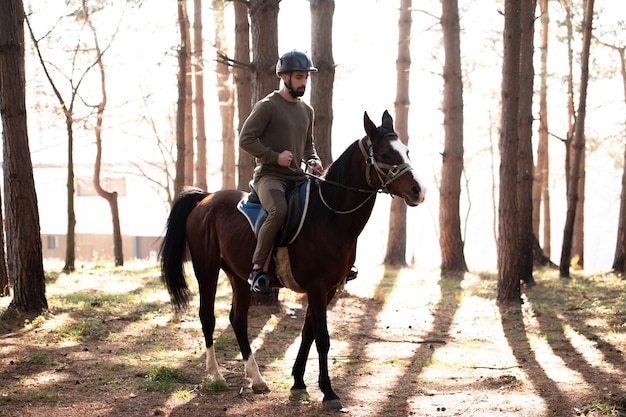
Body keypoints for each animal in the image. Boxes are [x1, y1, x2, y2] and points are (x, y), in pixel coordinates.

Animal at [158, 109, 426, 408]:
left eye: (405, 151)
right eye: (384, 153)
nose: (418, 190)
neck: (330, 216)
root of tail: (205, 199)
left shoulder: (328, 288)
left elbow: (308, 332)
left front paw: (298, 382)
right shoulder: (317, 287)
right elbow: (322, 337)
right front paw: (328, 392)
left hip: (239, 276)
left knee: (238, 320)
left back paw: (257, 379)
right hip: (207, 270)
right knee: (207, 316)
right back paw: (216, 375)